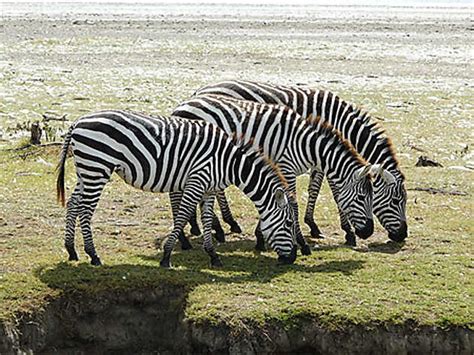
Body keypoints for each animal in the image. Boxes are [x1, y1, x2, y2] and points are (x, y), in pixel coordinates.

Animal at [56, 110, 296, 268]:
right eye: (289, 223)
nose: (292, 258)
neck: (228, 162)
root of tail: (77, 122)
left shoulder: (209, 189)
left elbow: (206, 219)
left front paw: (213, 255)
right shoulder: (197, 180)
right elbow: (182, 216)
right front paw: (166, 256)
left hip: (86, 170)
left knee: (73, 203)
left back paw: (71, 250)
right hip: (97, 168)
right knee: (85, 210)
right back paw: (93, 255)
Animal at [170, 96, 378, 254]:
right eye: (362, 197)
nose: (369, 232)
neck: (305, 144)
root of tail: (180, 106)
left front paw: (261, 237)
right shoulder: (286, 168)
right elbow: (293, 204)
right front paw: (301, 243)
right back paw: (186, 238)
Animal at [194, 81, 410, 246]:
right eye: (396, 201)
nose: (402, 236)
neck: (339, 120)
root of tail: (200, 91)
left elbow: (314, 188)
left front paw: (311, 224)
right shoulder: (323, 156)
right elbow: (331, 191)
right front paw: (345, 231)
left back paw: (210, 225)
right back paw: (222, 225)